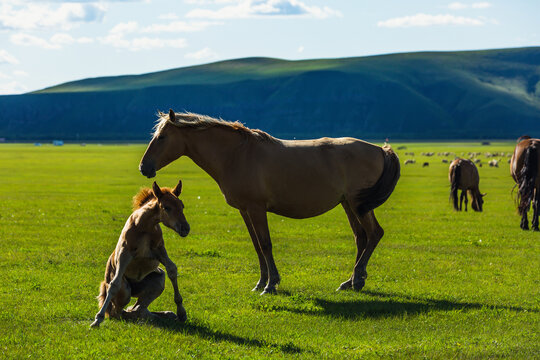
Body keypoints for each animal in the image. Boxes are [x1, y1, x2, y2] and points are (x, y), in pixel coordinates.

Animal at [93, 181, 192, 328]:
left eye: (182, 205)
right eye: (167, 207)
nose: (185, 228)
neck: (144, 227)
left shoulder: (159, 250)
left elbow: (172, 270)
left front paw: (181, 312)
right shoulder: (124, 253)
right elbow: (114, 284)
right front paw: (97, 319)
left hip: (158, 279)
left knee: (138, 309)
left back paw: (164, 315)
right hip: (126, 292)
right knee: (118, 312)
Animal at [139, 110, 400, 296]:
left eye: (162, 137)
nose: (144, 167)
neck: (236, 155)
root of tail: (380, 149)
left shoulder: (256, 209)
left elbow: (265, 244)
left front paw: (271, 284)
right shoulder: (245, 211)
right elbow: (257, 246)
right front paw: (261, 282)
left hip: (357, 205)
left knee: (374, 234)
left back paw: (358, 276)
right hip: (350, 205)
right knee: (361, 237)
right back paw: (351, 281)